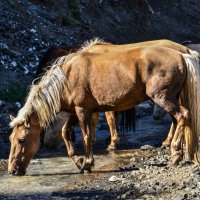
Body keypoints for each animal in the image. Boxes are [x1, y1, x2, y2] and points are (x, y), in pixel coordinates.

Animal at [8, 42, 200, 175]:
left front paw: (88, 163)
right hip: (171, 99)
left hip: (163, 98)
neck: (66, 77)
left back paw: (175, 155)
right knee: (177, 120)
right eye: (11, 139)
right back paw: (177, 152)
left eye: (22, 140)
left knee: (183, 116)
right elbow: (65, 133)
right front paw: (78, 160)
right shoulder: (74, 112)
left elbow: (86, 137)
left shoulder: (82, 111)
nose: (13, 170)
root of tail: (182, 54)